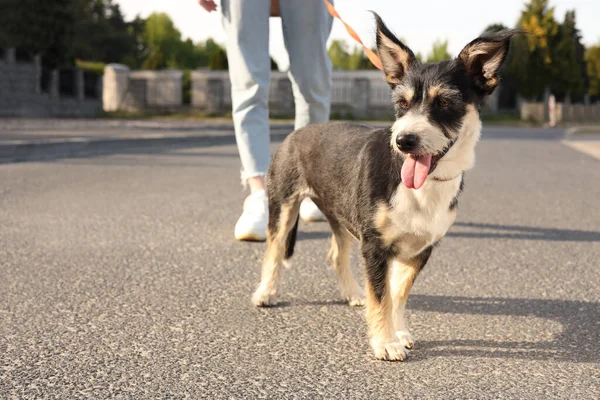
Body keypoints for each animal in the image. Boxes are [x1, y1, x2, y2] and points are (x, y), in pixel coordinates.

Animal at [251, 14, 516, 360]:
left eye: (445, 102)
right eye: (401, 103)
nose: (404, 141)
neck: (423, 187)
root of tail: (295, 133)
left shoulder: (419, 249)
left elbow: (396, 293)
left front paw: (398, 331)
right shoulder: (375, 246)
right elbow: (382, 296)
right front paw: (385, 342)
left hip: (342, 214)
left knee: (336, 254)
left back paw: (352, 293)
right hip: (283, 204)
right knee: (274, 248)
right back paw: (266, 292)